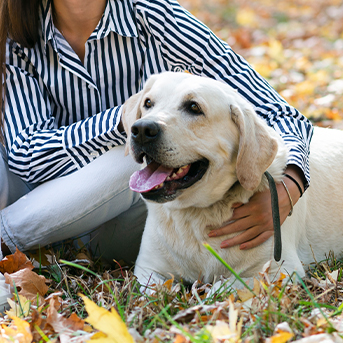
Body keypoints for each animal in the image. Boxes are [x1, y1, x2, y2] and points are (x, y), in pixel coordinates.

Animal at [122, 72, 343, 288]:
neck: (195, 215)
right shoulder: (147, 270)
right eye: (148, 103)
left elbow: (222, 287)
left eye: (194, 107)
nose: (141, 130)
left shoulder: (280, 271)